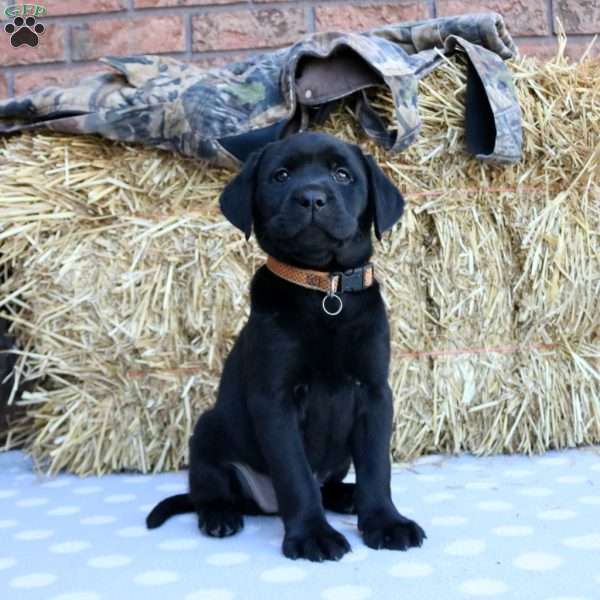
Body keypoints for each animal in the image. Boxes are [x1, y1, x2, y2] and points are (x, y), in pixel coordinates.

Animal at [146, 131, 426, 564]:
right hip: (207, 432)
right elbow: (295, 475)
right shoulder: (275, 399)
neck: (324, 290)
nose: (311, 197)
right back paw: (219, 517)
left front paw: (385, 522)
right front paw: (313, 535)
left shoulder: (375, 392)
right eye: (280, 176)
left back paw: (347, 497)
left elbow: (377, 466)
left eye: (342, 174)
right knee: (208, 489)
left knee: (330, 483)